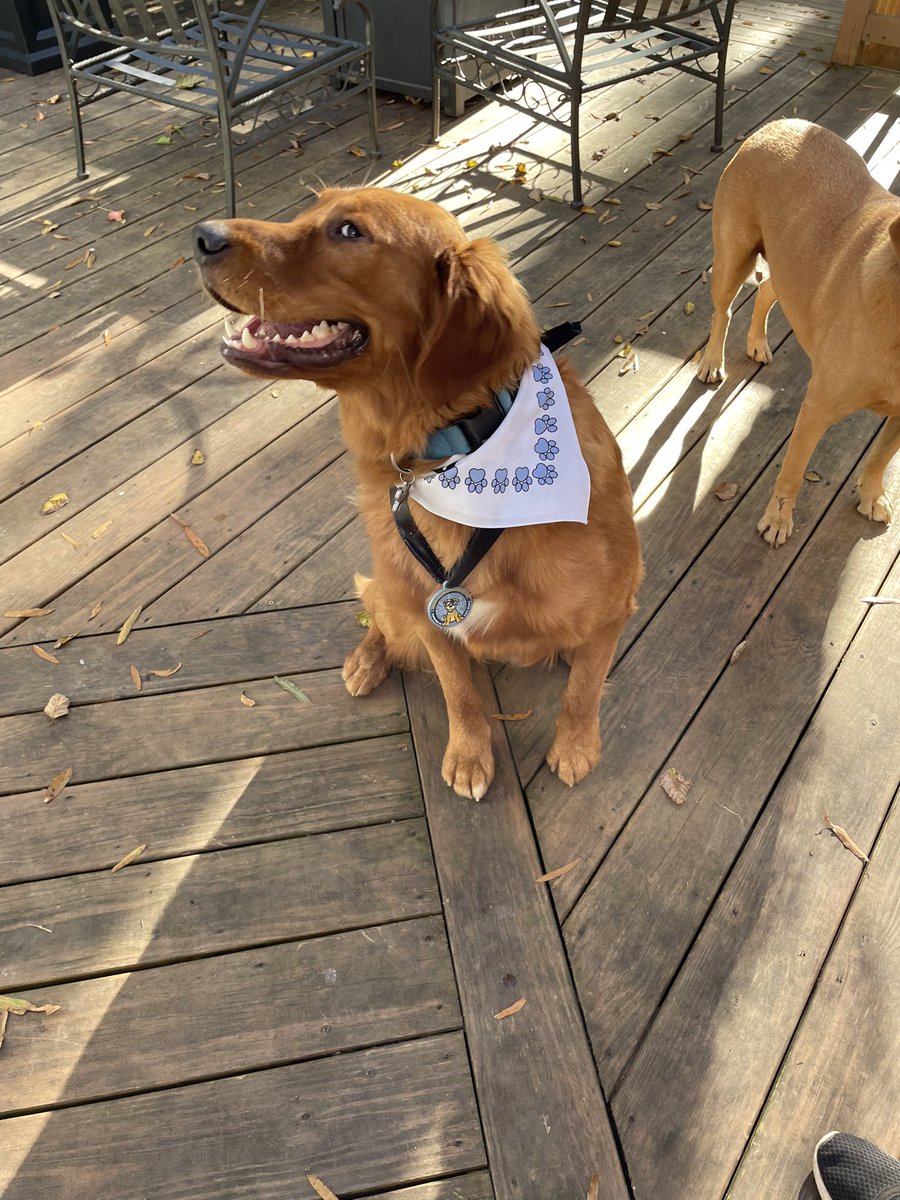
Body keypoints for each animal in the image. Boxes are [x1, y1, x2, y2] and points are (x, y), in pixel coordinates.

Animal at [192, 187, 643, 801]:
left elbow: (584, 689)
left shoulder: (610, 612)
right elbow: (459, 692)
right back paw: (366, 660)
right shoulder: (429, 614)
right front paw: (470, 754)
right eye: (313, 206)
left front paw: (575, 746)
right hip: (394, 585)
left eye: (349, 231)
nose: (202, 236)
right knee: (381, 615)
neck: (461, 450)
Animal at [696, 119, 900, 547]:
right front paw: (777, 519)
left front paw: (872, 496)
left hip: (787, 269)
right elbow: (792, 472)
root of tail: (778, 124)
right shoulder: (817, 409)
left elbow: (880, 458)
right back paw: (711, 362)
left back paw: (757, 342)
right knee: (722, 312)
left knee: (767, 290)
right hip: (733, 258)